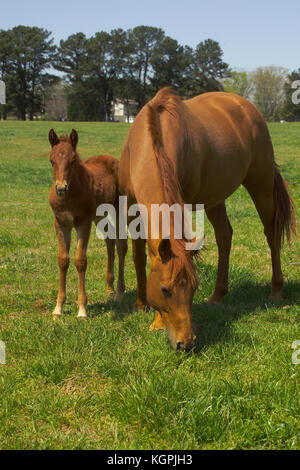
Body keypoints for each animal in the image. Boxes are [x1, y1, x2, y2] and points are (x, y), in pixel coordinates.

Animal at [47, 129, 126, 320]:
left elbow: (80, 260)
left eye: (73, 160)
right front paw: (58, 308)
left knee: (121, 245)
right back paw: (109, 289)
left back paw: (120, 292)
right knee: (110, 241)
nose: (61, 188)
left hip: (118, 209)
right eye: (51, 160)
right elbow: (63, 260)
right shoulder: (61, 224)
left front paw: (82, 309)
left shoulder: (83, 223)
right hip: (100, 216)